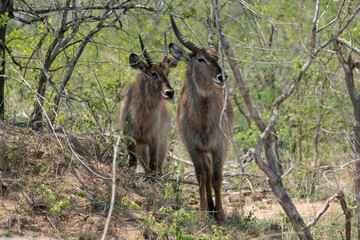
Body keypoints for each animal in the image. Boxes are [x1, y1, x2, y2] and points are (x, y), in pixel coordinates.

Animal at [118, 34, 179, 175]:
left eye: (168, 72)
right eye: (153, 73)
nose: (169, 92)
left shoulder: (154, 140)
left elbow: (153, 166)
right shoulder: (129, 138)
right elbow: (132, 162)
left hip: (163, 143)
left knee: (158, 168)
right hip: (141, 148)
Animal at [169, 16, 233, 222]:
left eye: (216, 57)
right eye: (200, 59)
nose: (222, 76)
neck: (204, 122)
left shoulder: (220, 146)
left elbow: (217, 177)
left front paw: (220, 214)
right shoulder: (192, 146)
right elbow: (200, 176)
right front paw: (204, 211)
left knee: (211, 172)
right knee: (205, 171)